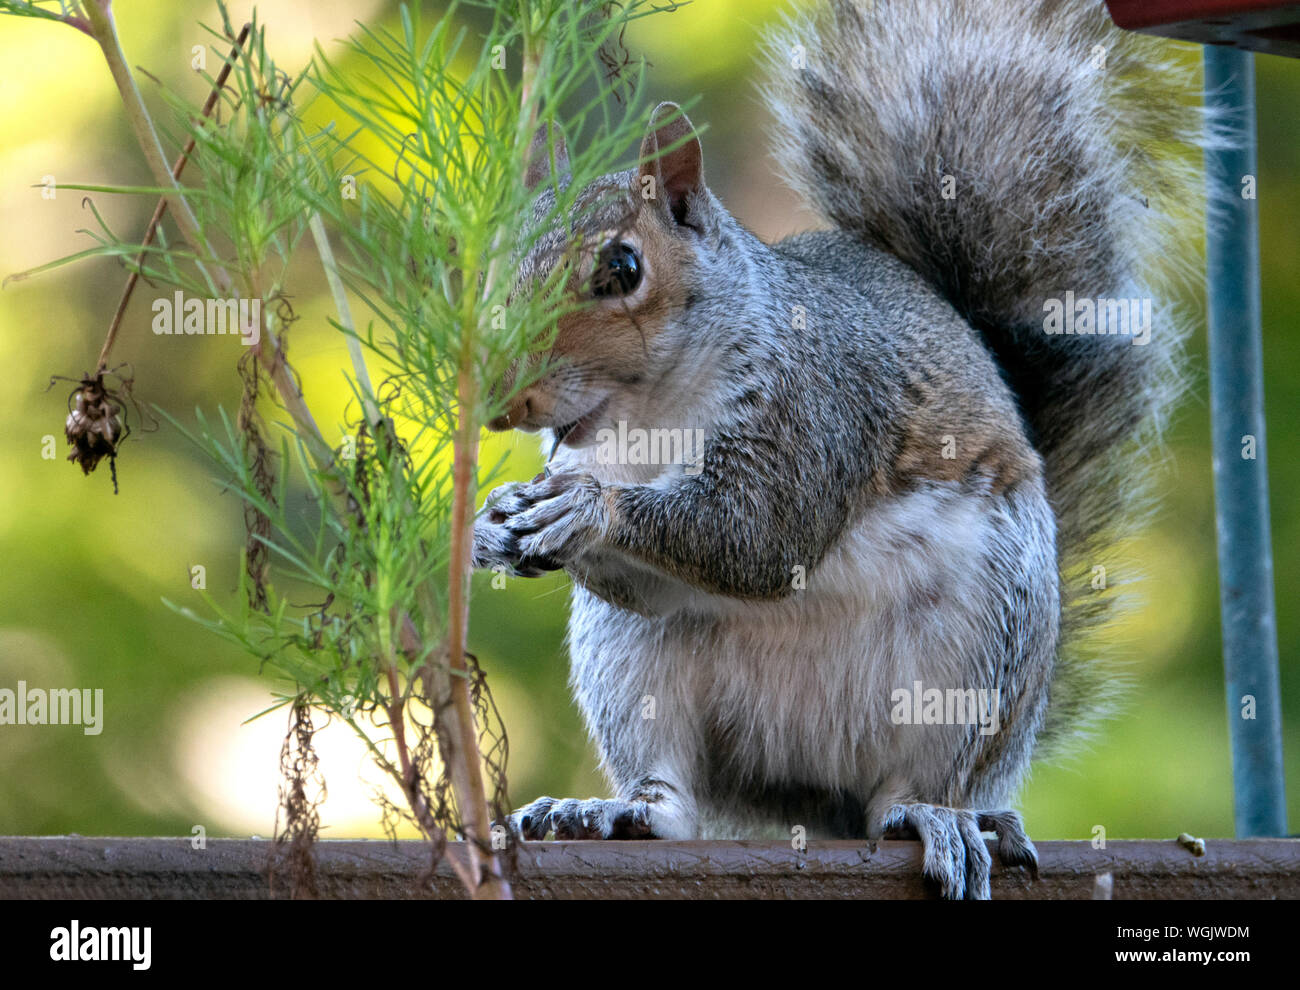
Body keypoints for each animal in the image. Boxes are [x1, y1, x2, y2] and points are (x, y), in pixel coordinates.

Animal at [475, 0, 1206, 893]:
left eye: (622, 267)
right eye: (501, 264)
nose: (502, 396)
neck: (651, 418)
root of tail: (809, 788)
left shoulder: (820, 411)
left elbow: (757, 537)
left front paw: (585, 508)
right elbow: (654, 576)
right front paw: (493, 524)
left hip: (975, 660)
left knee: (912, 788)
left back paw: (933, 816)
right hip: (630, 664)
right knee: (673, 791)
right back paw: (614, 812)